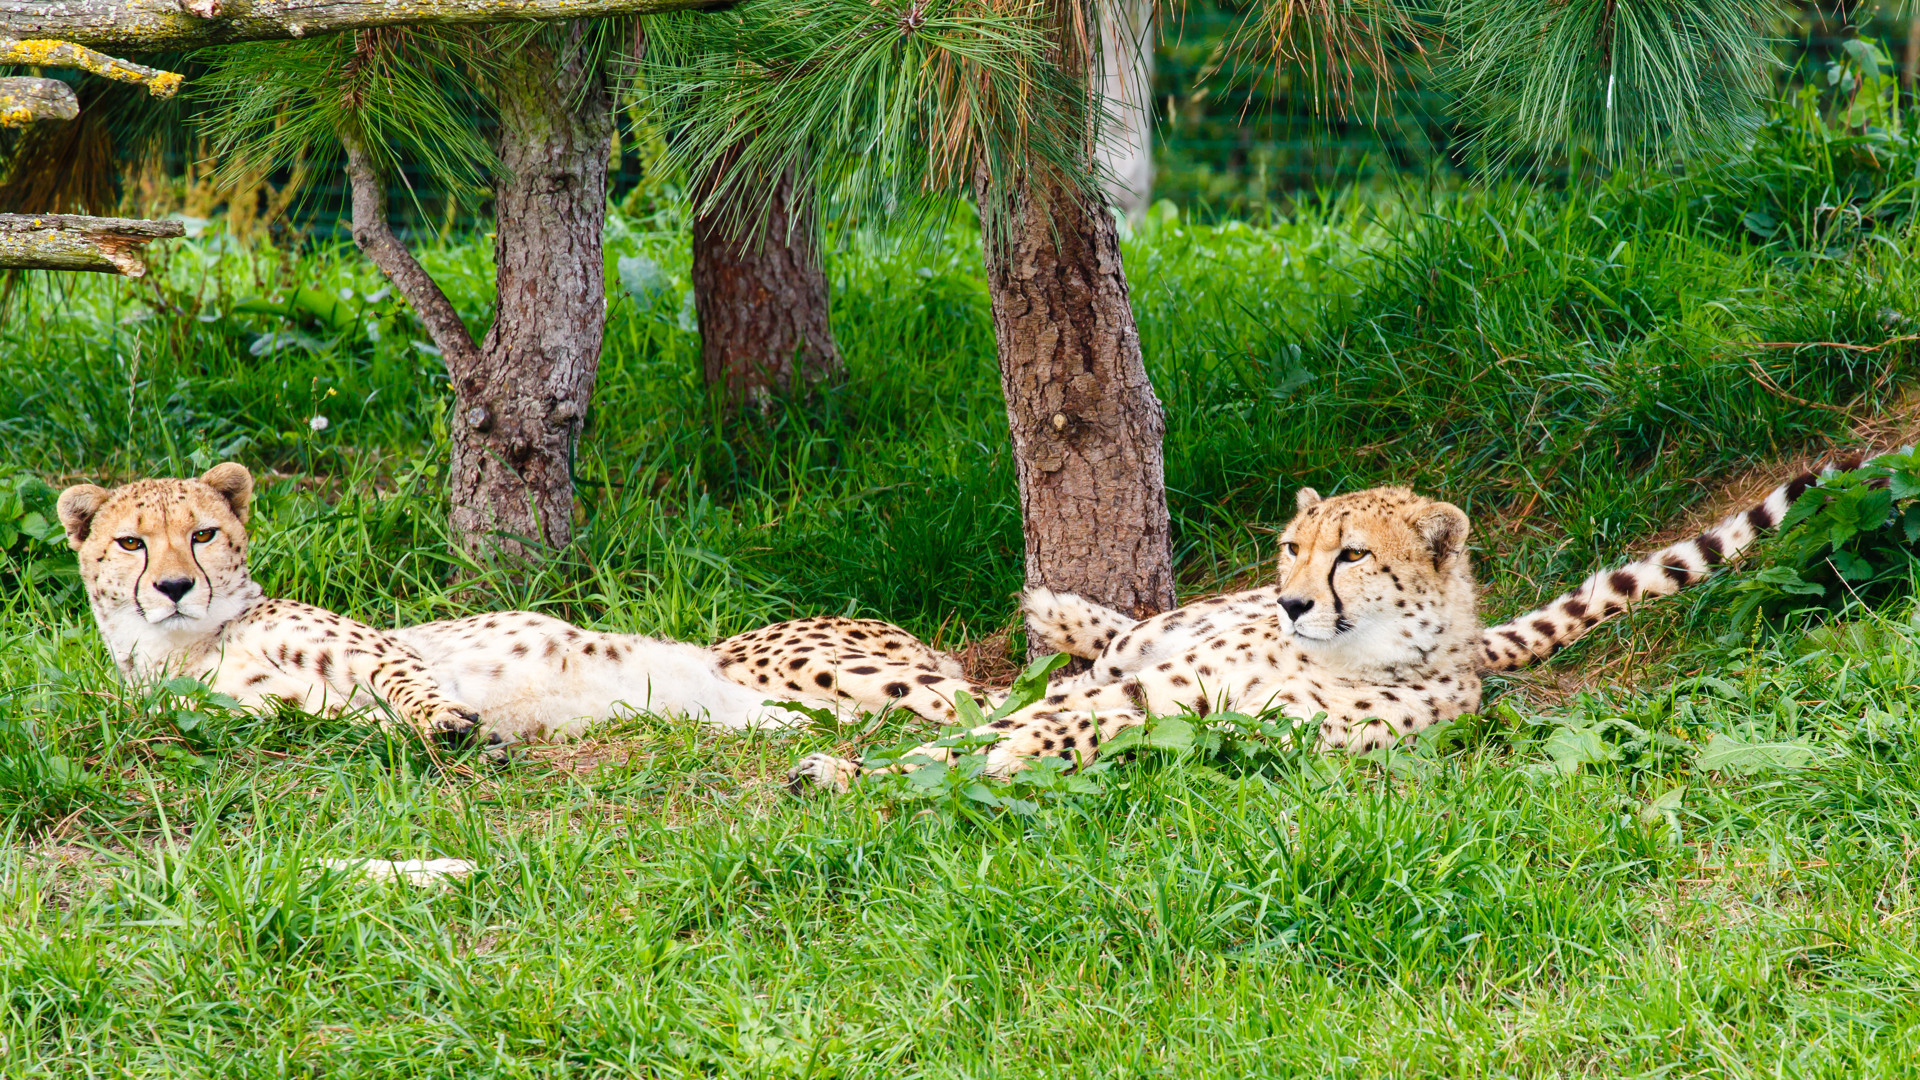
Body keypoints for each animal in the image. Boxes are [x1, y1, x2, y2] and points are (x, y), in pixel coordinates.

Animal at [61, 457, 802, 745]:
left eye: (203, 534)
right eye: (132, 543)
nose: (175, 587)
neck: (183, 644)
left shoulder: (383, 652)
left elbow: (408, 682)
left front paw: (446, 719)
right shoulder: (282, 712)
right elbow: (356, 720)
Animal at [721, 457, 1843, 787]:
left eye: (1353, 556)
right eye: (1294, 549)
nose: (1294, 600)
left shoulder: (1206, 717)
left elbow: (1023, 736)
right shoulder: (1160, 680)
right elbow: (994, 724)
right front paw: (860, 768)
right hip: (1153, 636)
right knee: (1095, 647)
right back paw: (1058, 610)